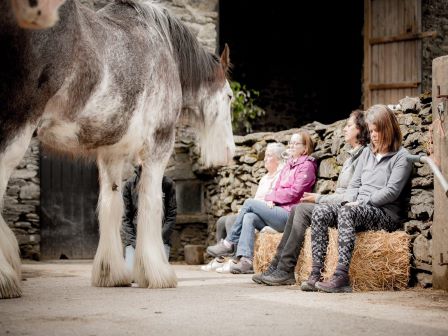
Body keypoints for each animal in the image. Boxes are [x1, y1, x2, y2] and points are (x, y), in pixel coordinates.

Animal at [0, 0, 236, 300]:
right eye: (229, 97)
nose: (229, 151)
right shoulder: (159, 145)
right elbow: (150, 204)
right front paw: (157, 274)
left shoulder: (110, 154)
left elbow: (111, 206)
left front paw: (110, 274)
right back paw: (6, 278)